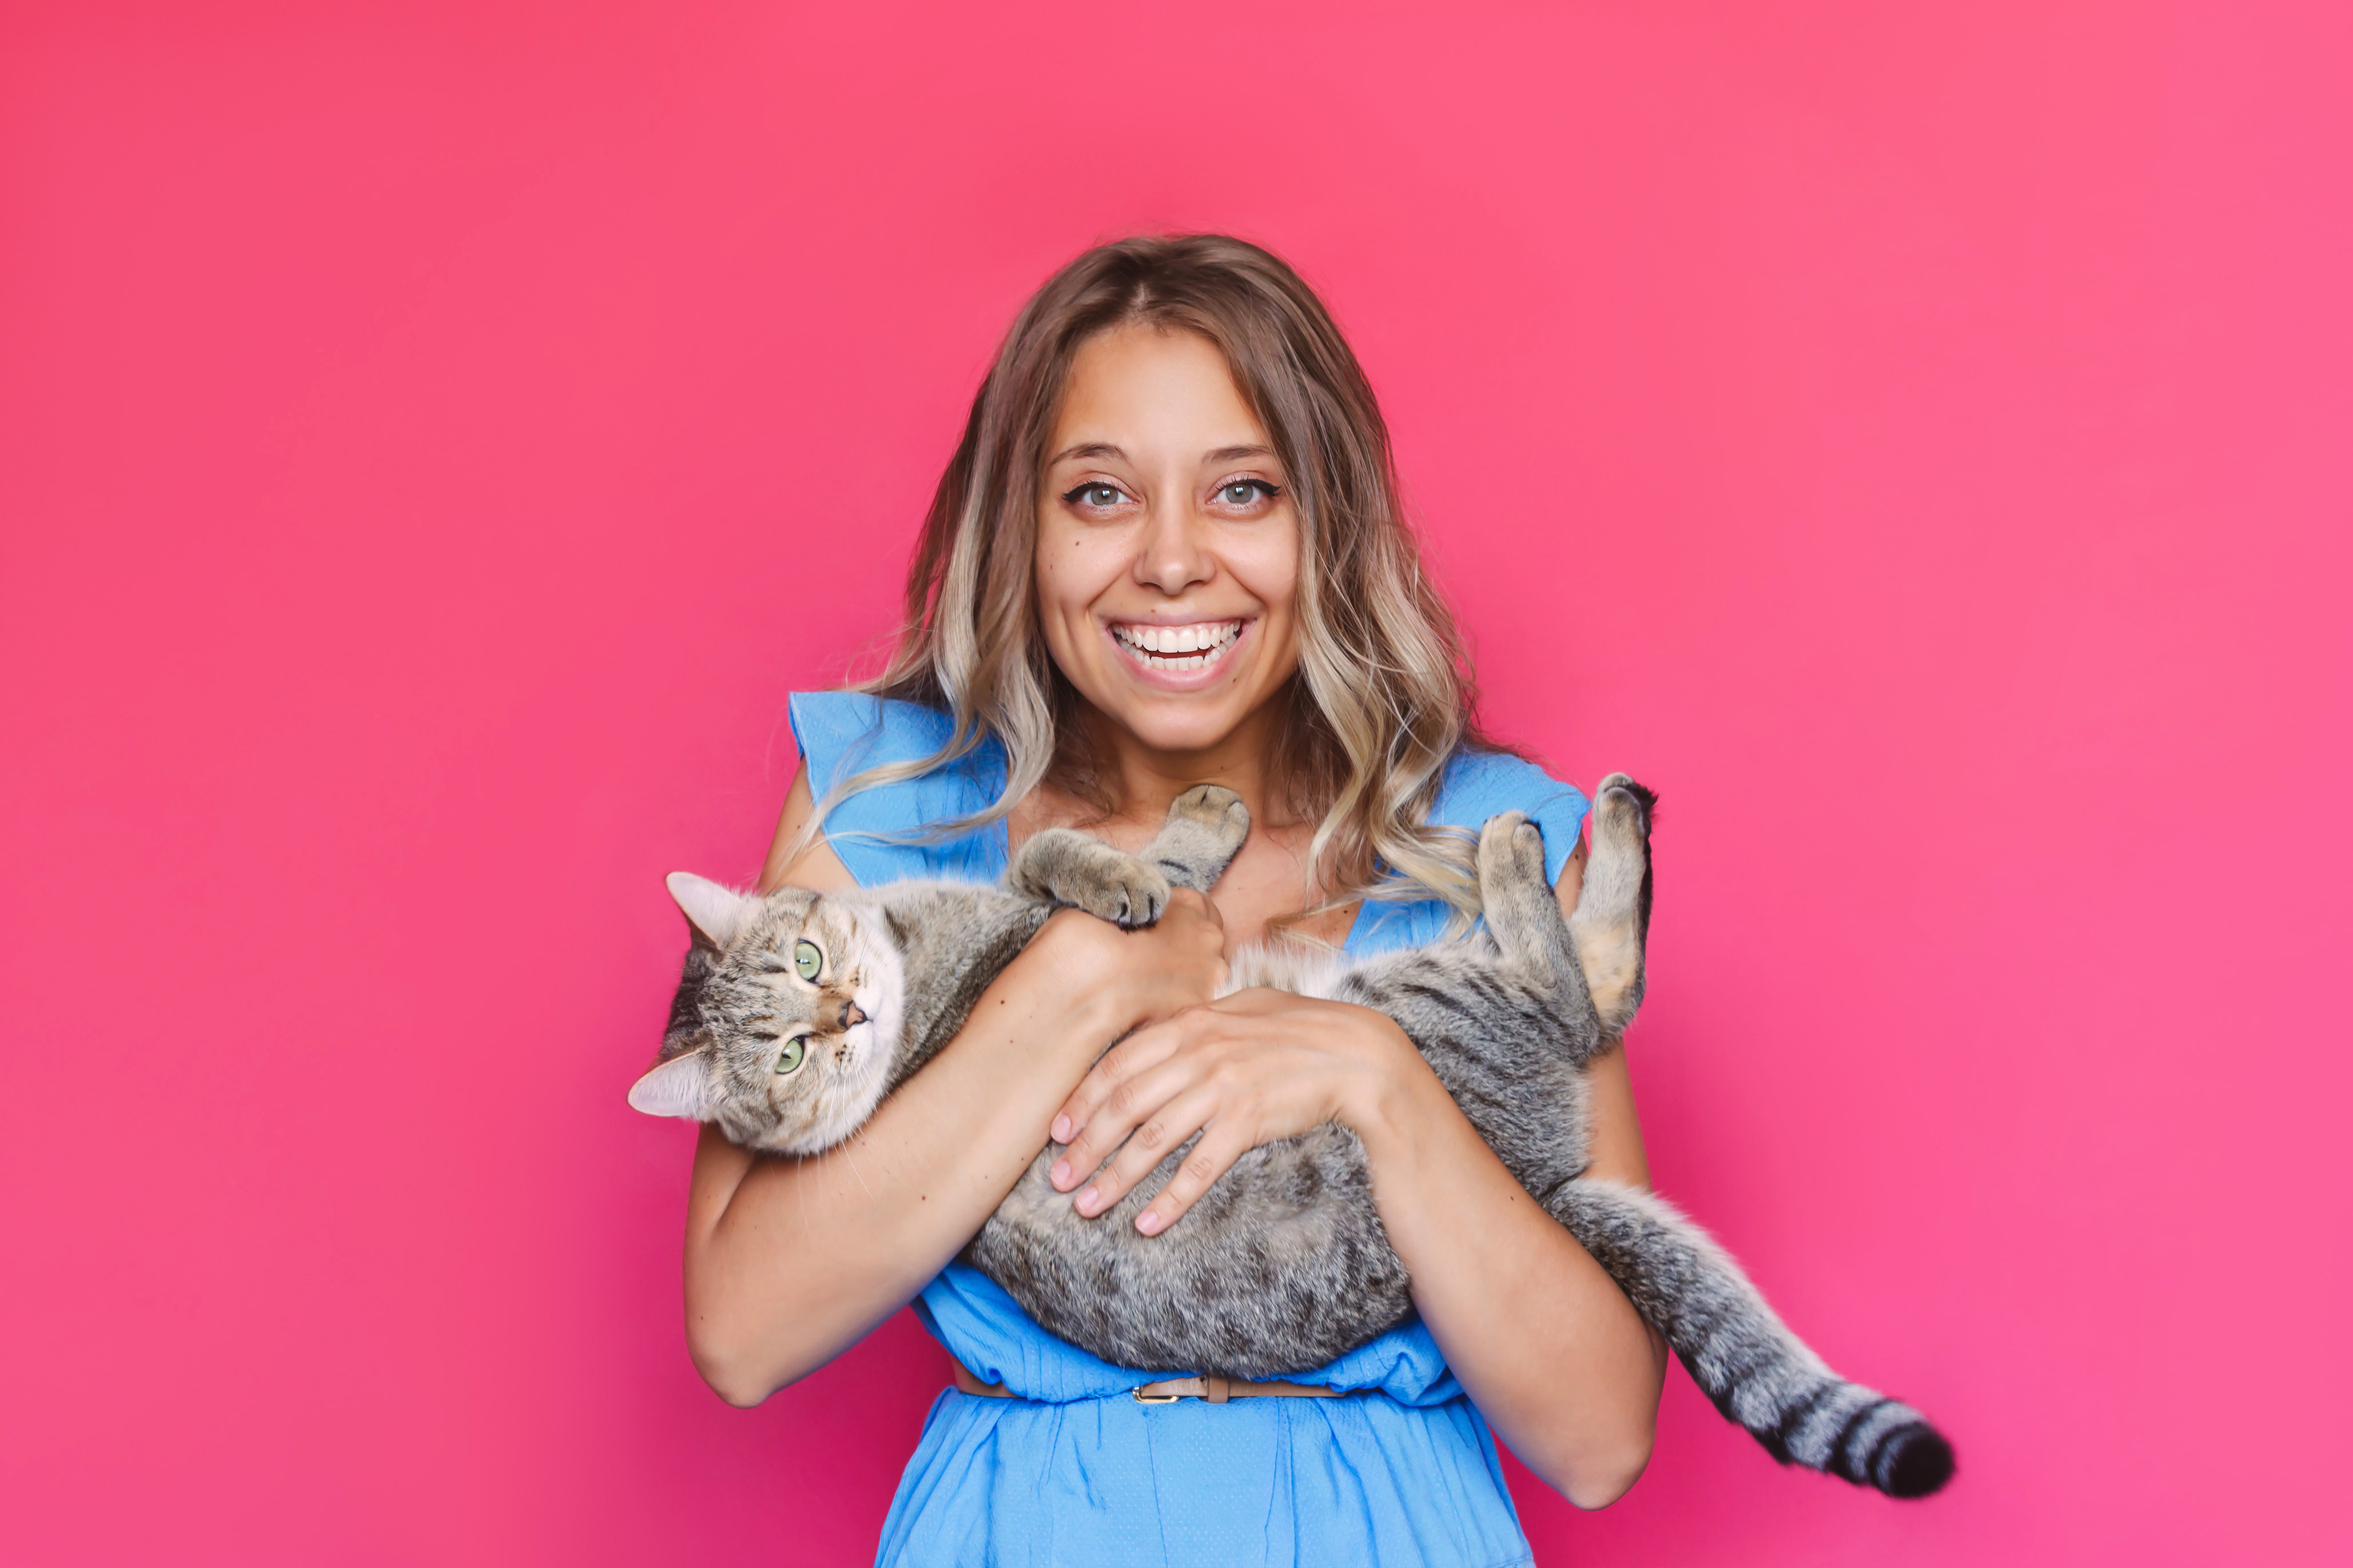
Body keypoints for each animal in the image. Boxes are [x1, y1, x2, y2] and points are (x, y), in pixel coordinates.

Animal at [640, 780, 1948, 1495]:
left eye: (809, 961)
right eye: (783, 1057)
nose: (843, 1018)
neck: (921, 974)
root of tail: (1538, 1180)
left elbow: (1068, 850)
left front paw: (1172, 835)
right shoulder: (1035, 945)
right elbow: (1086, 864)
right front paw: (1154, 862)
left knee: (1601, 1001)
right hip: (1426, 1001)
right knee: (1579, 996)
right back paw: (1533, 846)